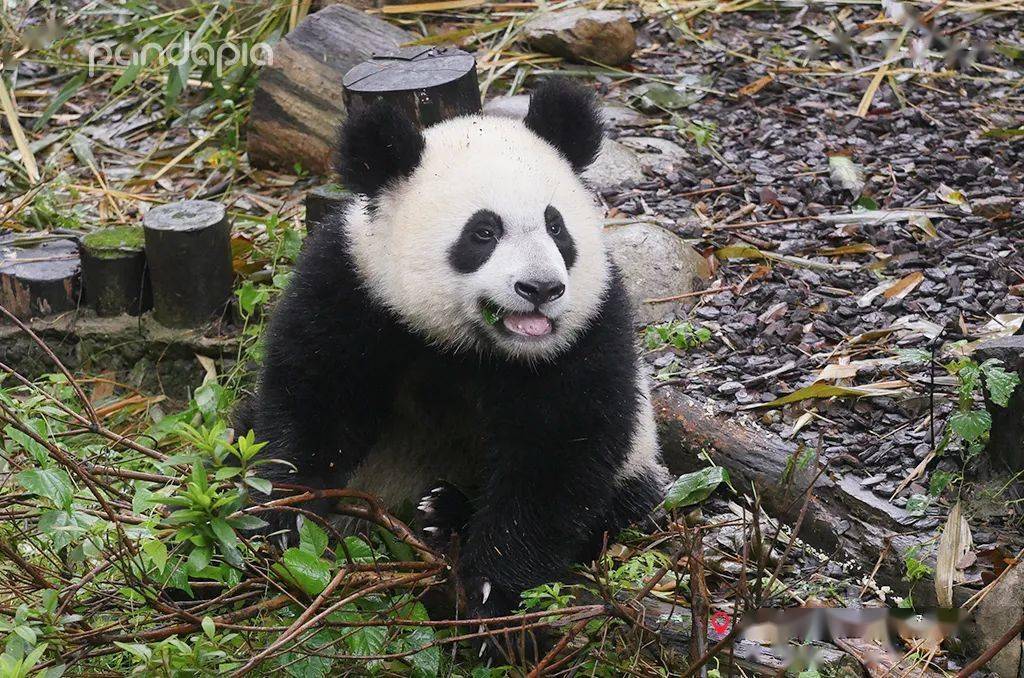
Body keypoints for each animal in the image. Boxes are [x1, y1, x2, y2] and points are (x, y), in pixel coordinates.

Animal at [243, 78, 667, 622]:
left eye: (556, 227)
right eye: (483, 232)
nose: (541, 288)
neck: (468, 344)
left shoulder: (587, 330)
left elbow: (558, 453)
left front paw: (493, 585)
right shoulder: (353, 286)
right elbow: (312, 398)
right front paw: (288, 522)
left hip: (637, 466)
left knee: (620, 506)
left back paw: (444, 510)